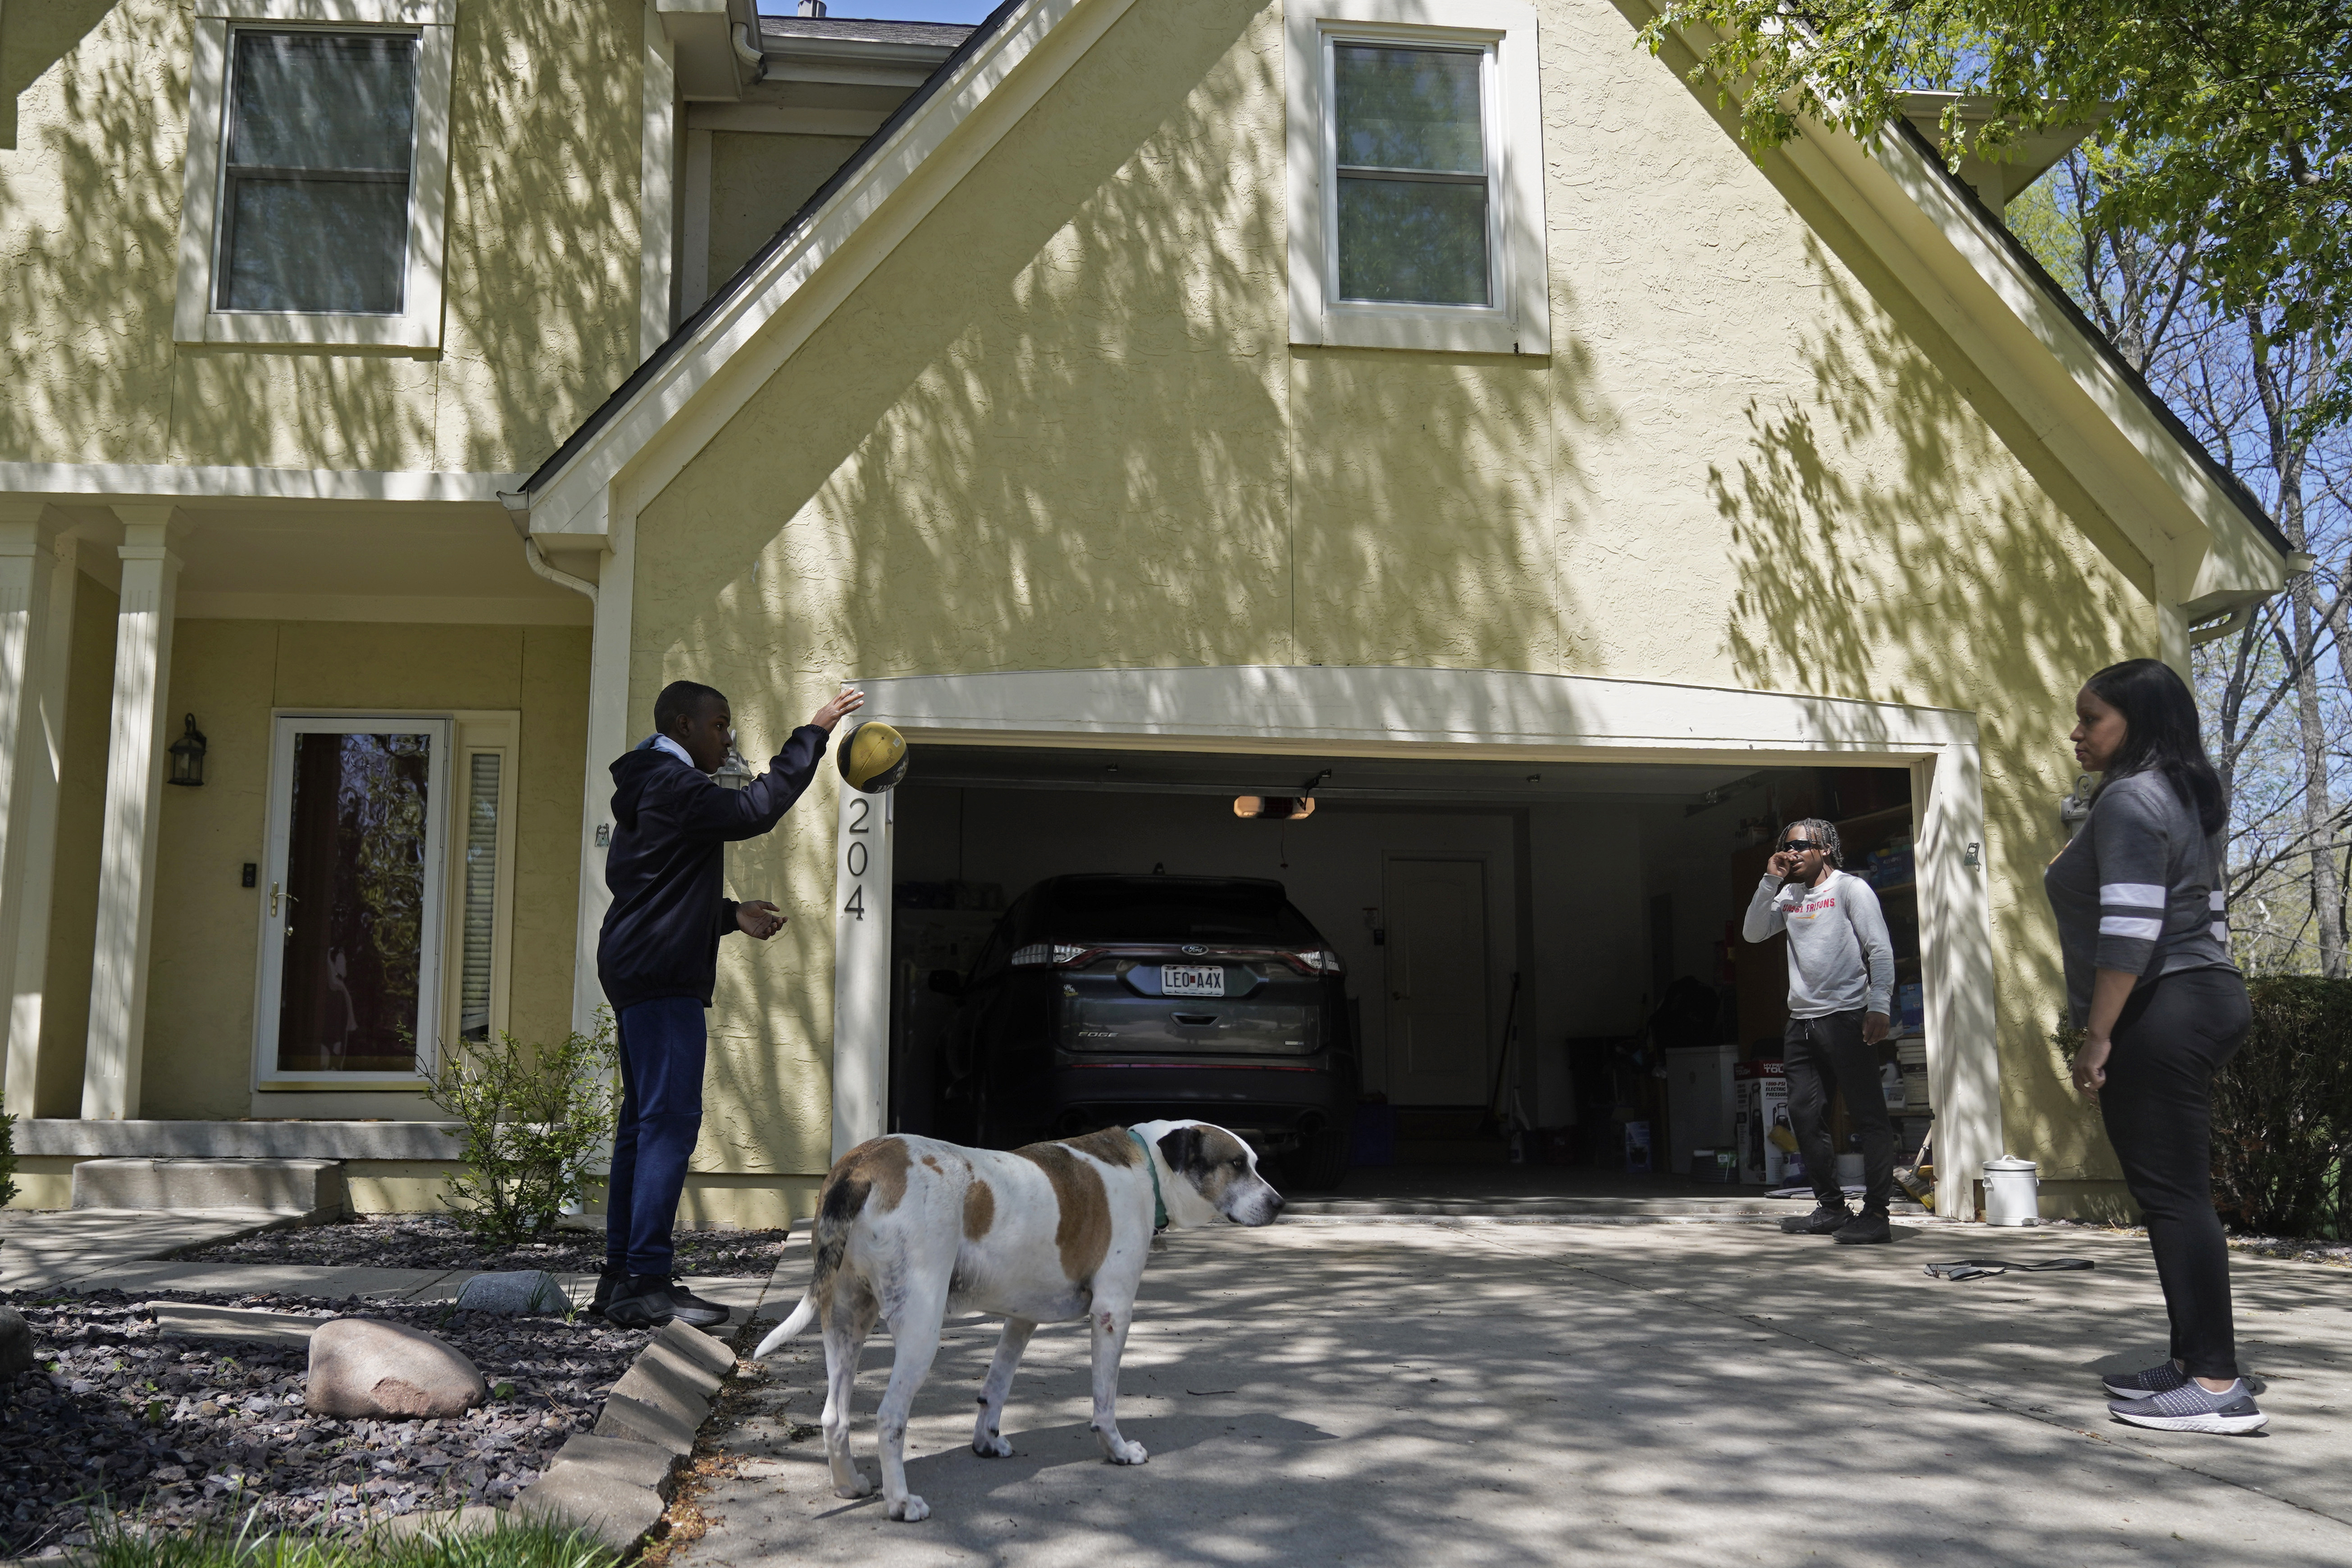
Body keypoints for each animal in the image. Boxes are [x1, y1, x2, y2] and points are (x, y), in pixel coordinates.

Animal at [757, 1123, 1289, 1523]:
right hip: (921, 1330)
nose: (1281, 1204)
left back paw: (849, 1485)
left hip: (847, 1321)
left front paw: (986, 1442)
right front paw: (1117, 1451)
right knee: (890, 1418)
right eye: (1236, 1165)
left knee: (835, 1417)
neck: (1146, 1169)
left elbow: (995, 1388)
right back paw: (900, 1503)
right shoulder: (1112, 1313)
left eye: (1254, 1162)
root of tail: (862, 1163)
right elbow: (1105, 1403)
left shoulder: (1021, 1321)